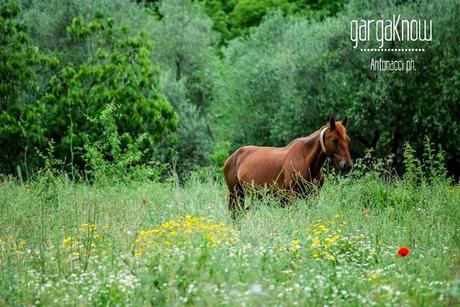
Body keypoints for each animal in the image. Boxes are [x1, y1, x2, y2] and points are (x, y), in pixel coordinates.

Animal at [223, 116, 352, 218]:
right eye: (335, 140)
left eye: (348, 140)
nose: (348, 165)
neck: (306, 160)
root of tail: (232, 157)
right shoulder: (292, 198)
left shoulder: (313, 197)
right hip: (235, 195)